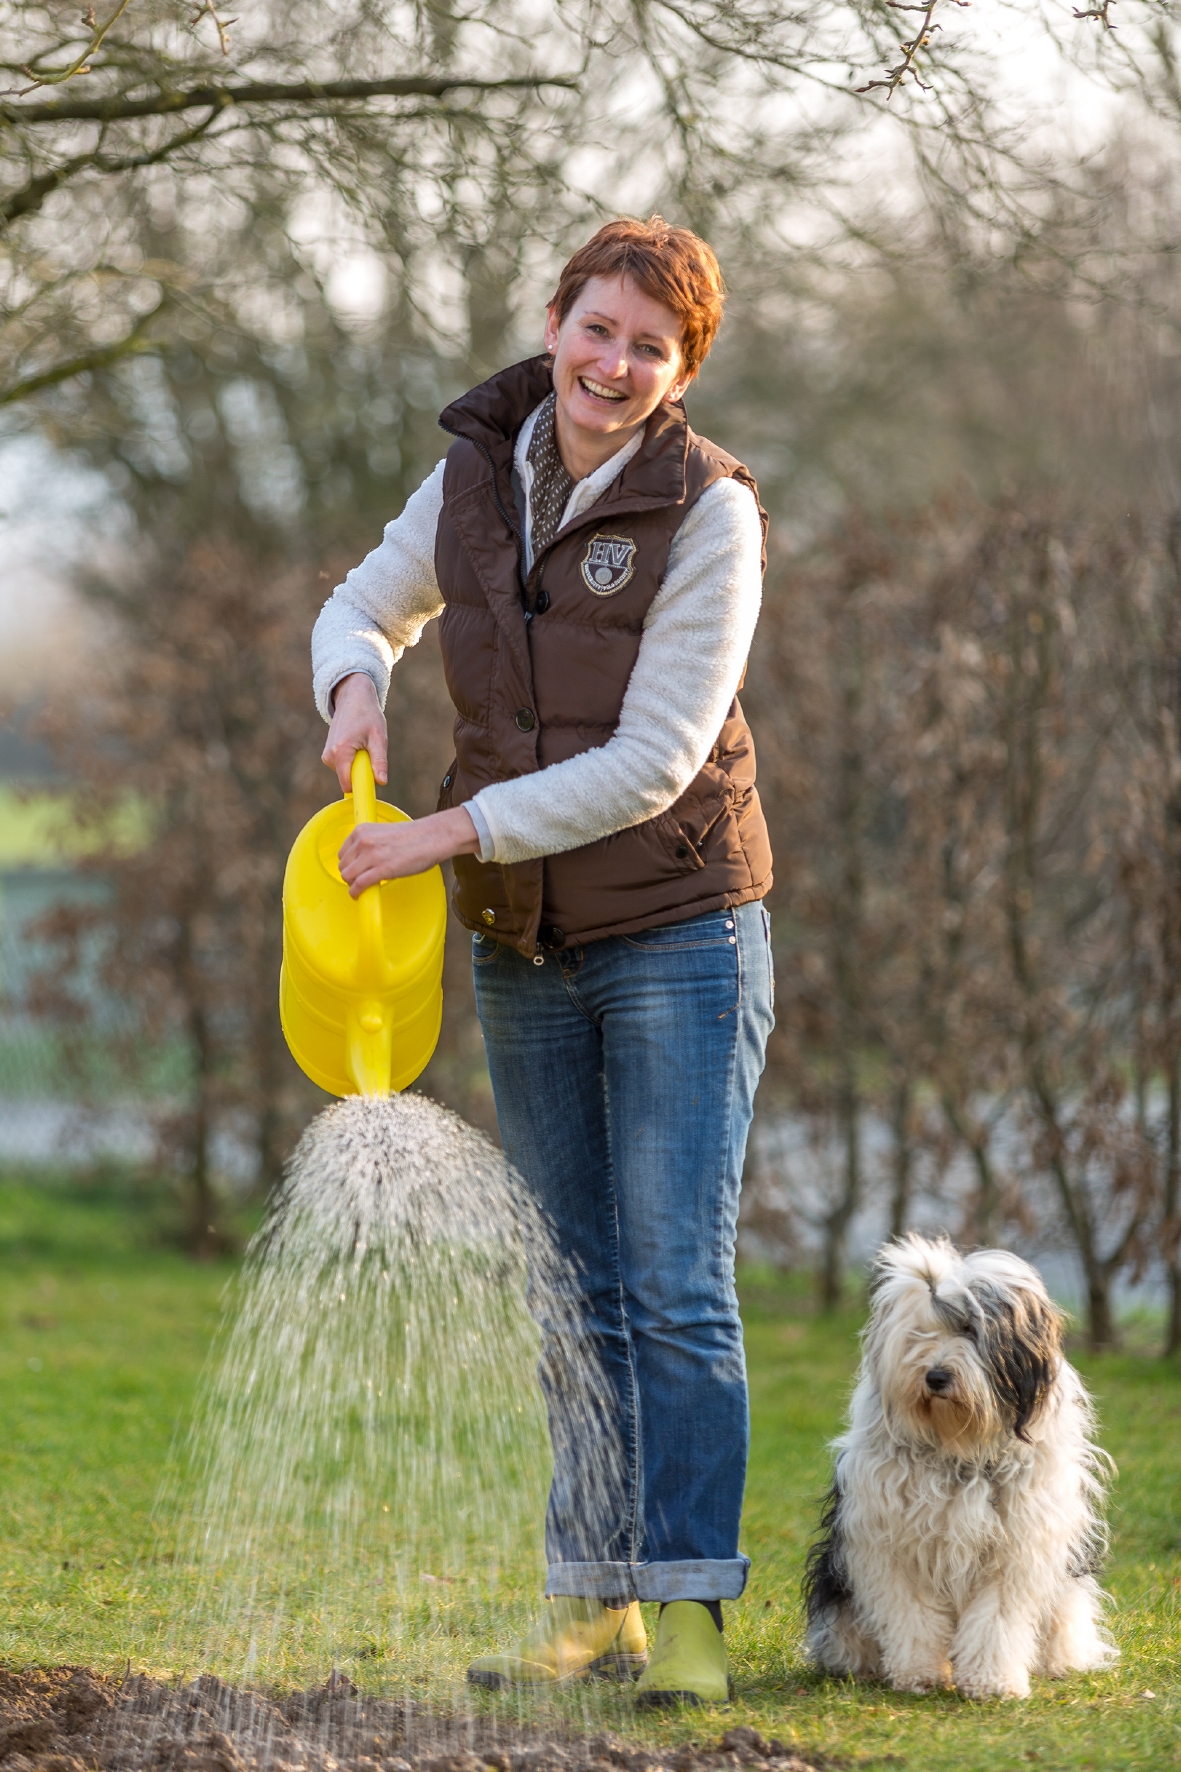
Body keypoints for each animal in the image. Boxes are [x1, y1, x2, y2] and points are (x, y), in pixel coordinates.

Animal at [801, 1240, 1113, 1694]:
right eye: (921, 1333)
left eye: (969, 1329)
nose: (935, 1377)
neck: (961, 1444)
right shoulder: (894, 1543)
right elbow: (912, 1614)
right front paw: (919, 1672)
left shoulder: (1015, 1548)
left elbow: (996, 1620)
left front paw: (991, 1681)